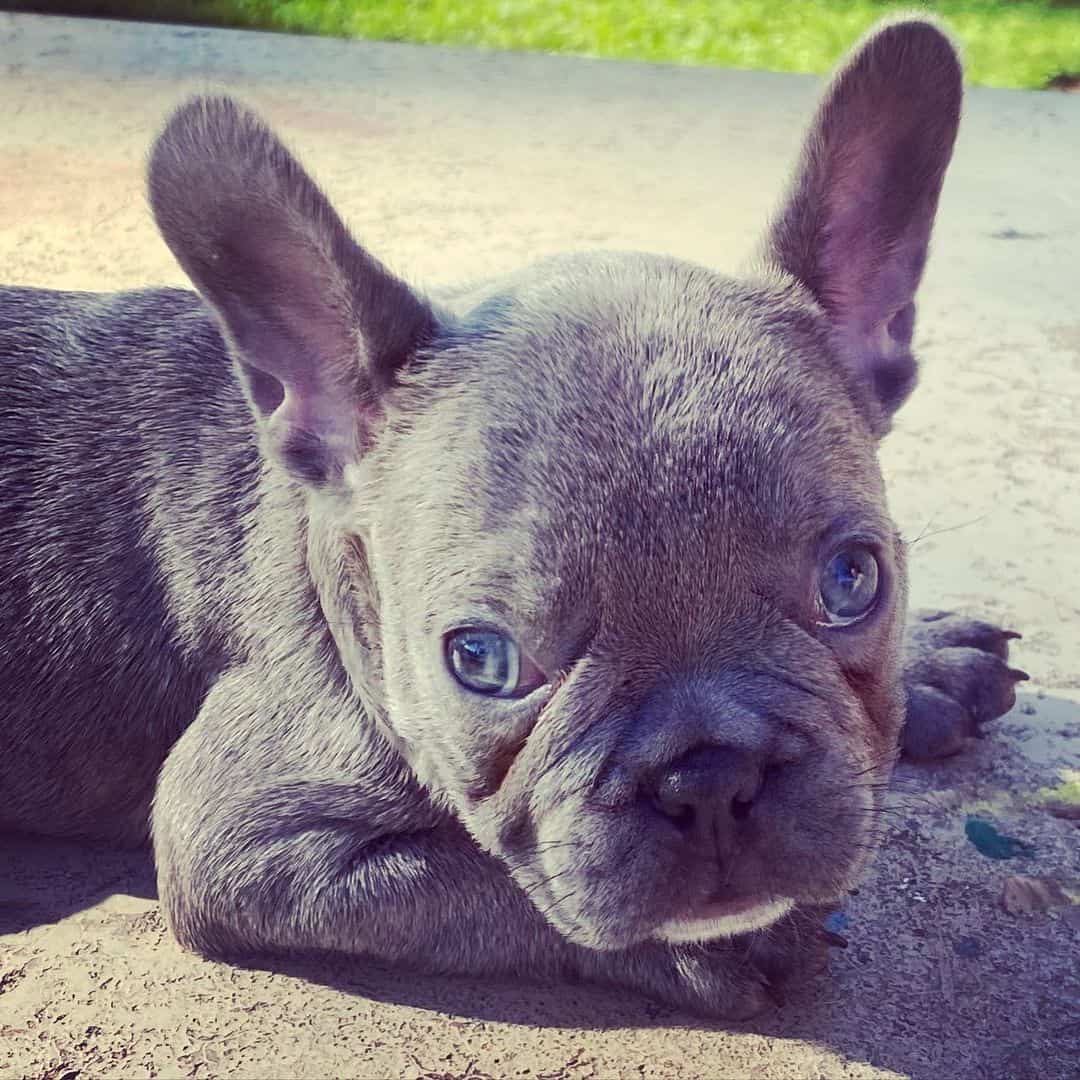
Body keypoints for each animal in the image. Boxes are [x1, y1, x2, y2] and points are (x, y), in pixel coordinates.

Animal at [0, 14, 1028, 1010]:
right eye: (483, 661)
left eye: (854, 581)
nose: (711, 777)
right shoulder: (238, 837)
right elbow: (489, 884)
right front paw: (722, 946)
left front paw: (930, 657)